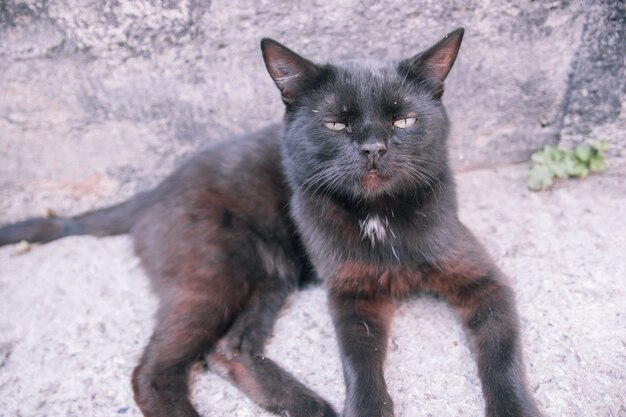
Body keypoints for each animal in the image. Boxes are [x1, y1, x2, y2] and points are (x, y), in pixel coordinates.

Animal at [0, 28, 540, 416]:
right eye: (335, 123)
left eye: (403, 120)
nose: (373, 148)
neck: (377, 219)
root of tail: (157, 189)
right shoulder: (350, 297)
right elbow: (361, 366)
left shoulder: (483, 281)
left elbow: (502, 358)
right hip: (216, 272)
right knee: (154, 371)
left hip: (269, 274)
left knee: (229, 349)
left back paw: (307, 406)